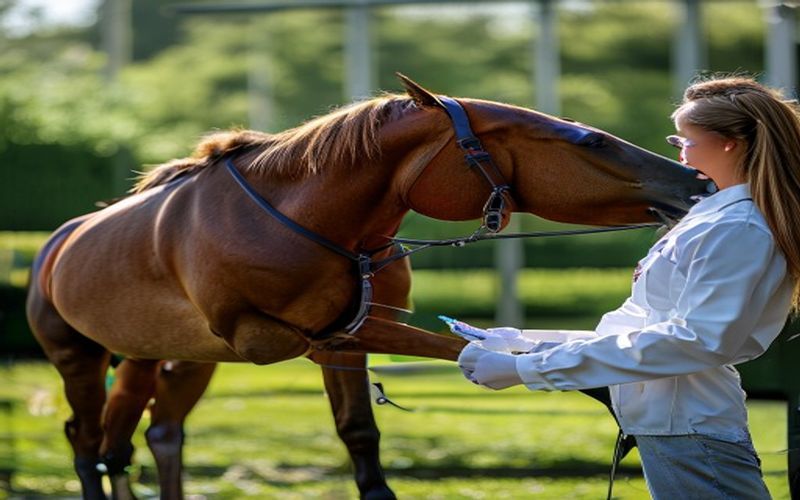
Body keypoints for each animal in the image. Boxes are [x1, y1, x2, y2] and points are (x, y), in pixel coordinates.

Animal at [26, 74, 711, 499]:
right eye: (590, 139)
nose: (696, 182)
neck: (305, 219)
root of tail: (55, 246)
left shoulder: (346, 336)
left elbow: (361, 433)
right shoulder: (289, 338)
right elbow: (464, 348)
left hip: (162, 356)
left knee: (142, 438)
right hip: (81, 356)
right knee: (86, 440)